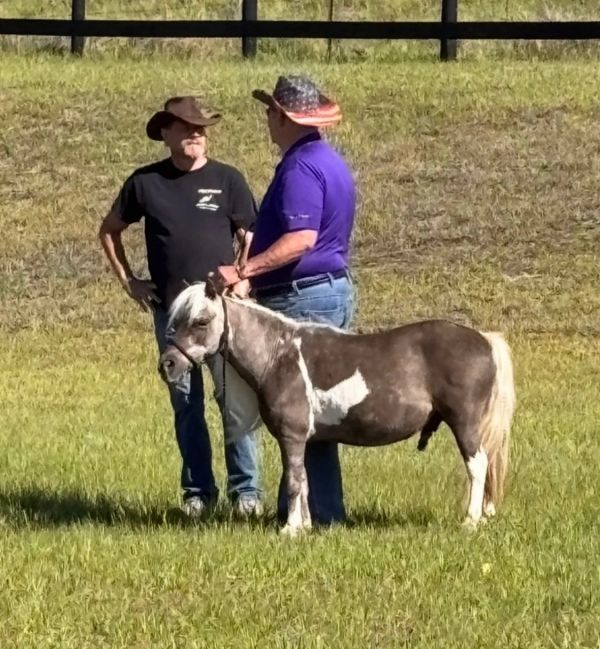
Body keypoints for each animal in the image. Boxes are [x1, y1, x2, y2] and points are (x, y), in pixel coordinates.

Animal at [158, 281, 516, 536]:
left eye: (201, 321)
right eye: (175, 321)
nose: (168, 365)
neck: (278, 355)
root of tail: (484, 339)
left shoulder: (292, 435)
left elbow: (294, 479)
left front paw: (290, 529)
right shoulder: (302, 439)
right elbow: (303, 478)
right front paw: (304, 526)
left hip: (465, 423)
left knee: (478, 466)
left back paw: (470, 521)